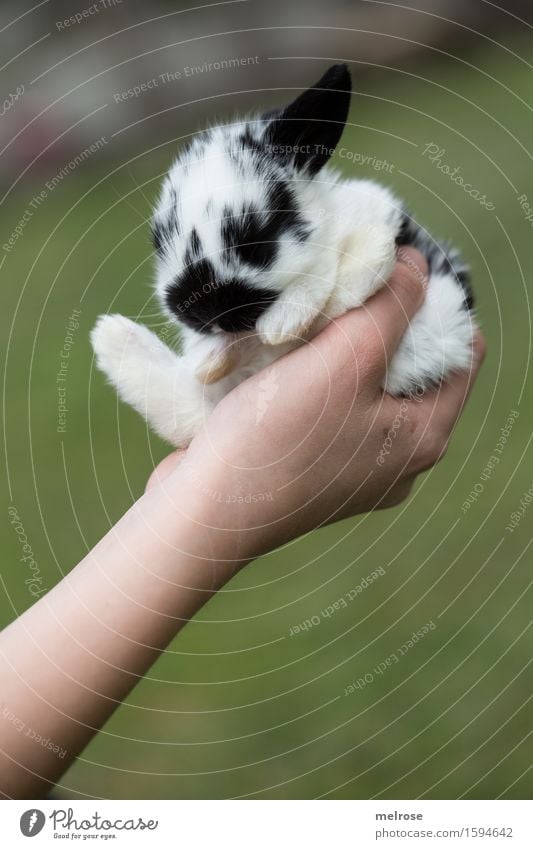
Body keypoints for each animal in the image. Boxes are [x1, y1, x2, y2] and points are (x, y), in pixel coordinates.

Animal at [91, 63, 474, 448]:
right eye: (159, 243)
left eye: (255, 241)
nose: (208, 315)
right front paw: (208, 356)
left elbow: (332, 275)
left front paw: (280, 323)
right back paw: (112, 336)